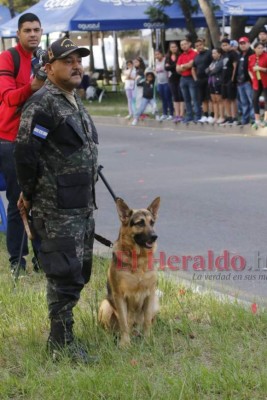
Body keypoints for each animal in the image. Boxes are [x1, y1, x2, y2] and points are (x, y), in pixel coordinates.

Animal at [98, 198, 161, 346]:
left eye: (152, 222)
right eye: (140, 223)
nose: (155, 236)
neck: (138, 259)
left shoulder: (150, 294)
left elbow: (147, 321)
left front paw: (148, 339)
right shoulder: (119, 296)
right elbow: (124, 322)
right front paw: (125, 343)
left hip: (155, 302)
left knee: (146, 321)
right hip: (105, 305)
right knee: (112, 328)